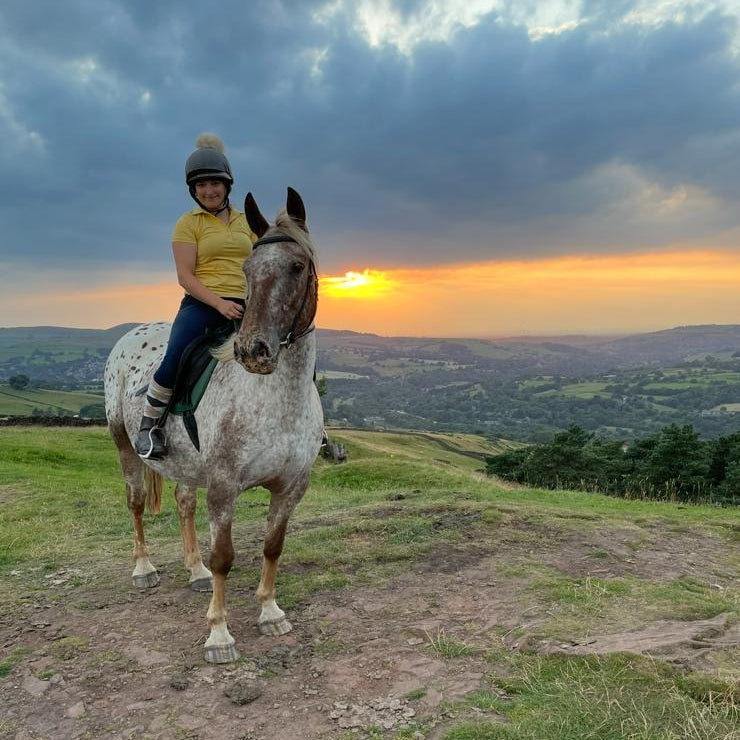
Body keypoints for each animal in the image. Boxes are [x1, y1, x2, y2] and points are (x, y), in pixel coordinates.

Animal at [104, 187, 324, 663]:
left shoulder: (291, 486)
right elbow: (224, 555)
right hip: (125, 446)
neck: (276, 401)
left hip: (187, 464)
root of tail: (131, 333)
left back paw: (195, 570)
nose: (253, 350)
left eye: (297, 266)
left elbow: (272, 547)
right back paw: (144, 569)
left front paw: (270, 613)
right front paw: (220, 635)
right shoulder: (223, 487)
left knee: (184, 504)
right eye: (247, 269)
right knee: (135, 503)